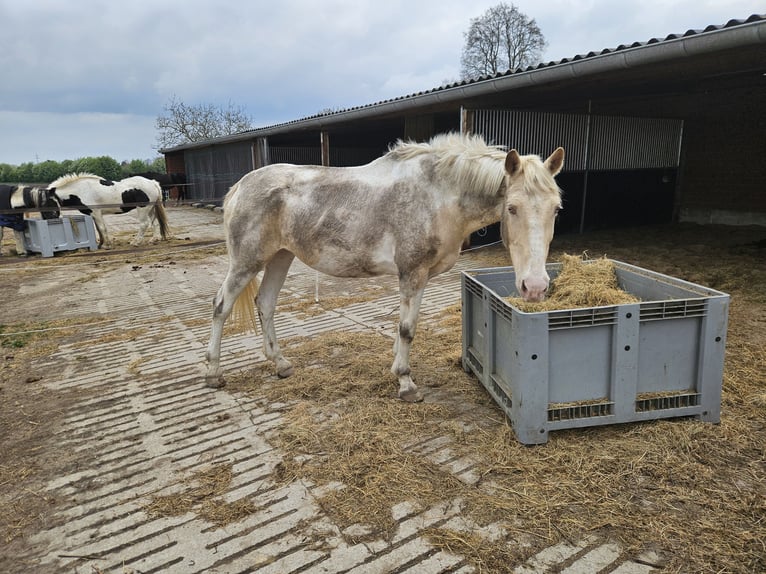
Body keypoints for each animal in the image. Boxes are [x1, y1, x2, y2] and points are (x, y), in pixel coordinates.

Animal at [204, 133, 565, 402]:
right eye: (512, 208)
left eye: (556, 209)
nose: (534, 287)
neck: (437, 195)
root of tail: (239, 188)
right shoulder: (412, 273)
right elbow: (407, 328)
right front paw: (406, 383)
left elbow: (404, 328)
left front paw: (397, 366)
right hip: (247, 261)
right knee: (222, 305)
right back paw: (213, 373)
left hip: (280, 256)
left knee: (265, 303)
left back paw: (280, 364)